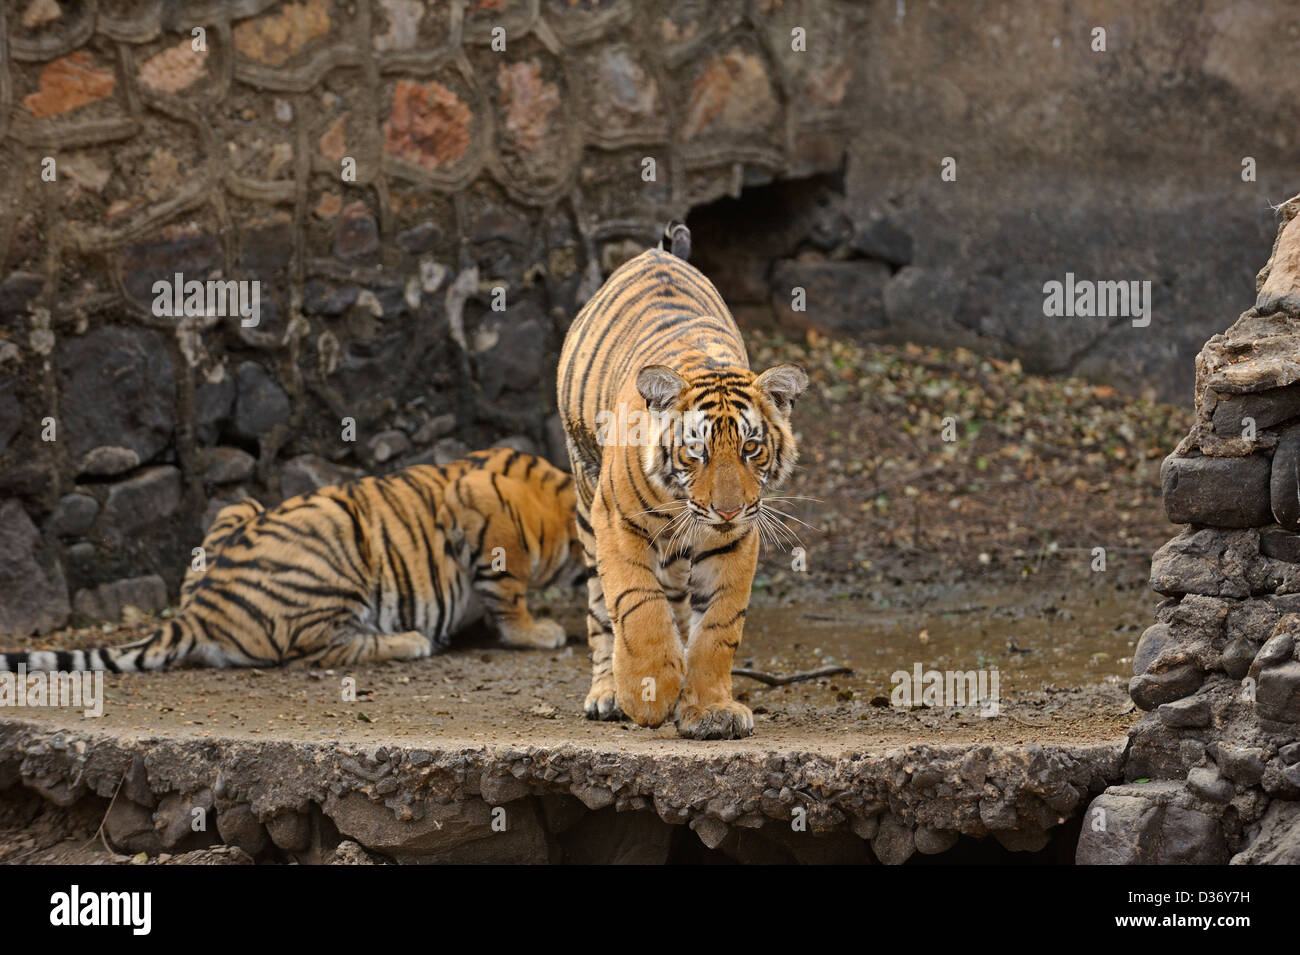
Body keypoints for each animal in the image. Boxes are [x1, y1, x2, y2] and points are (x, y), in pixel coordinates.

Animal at [0, 452, 579, 675]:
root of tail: (198, 613)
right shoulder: (482, 508)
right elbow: (508, 592)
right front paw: (536, 631)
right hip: (338, 539)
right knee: (319, 649)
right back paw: (412, 640)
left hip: (238, 507)